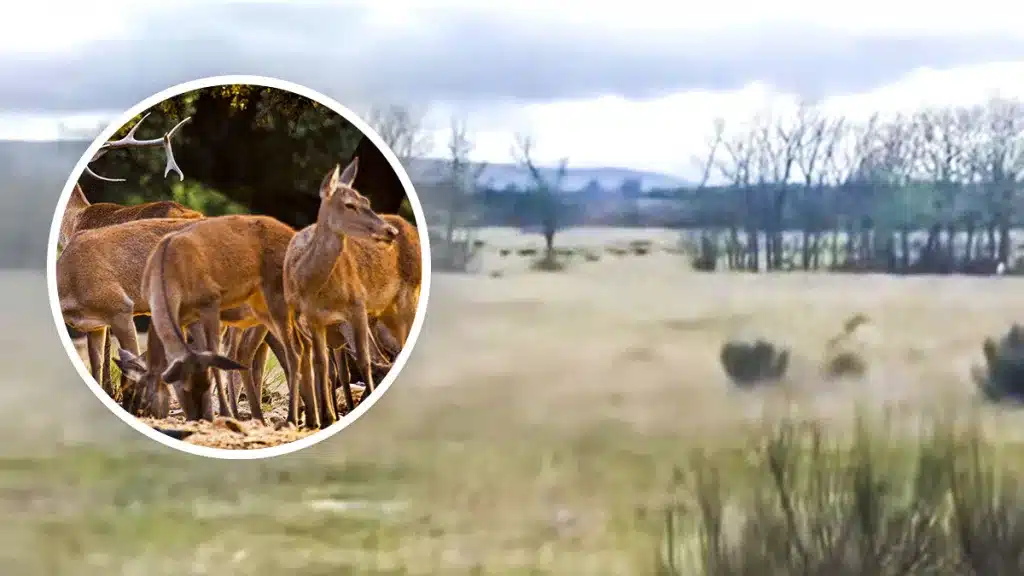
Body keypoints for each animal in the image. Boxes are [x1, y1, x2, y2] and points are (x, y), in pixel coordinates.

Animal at [282, 156, 417, 426]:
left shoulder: (358, 304)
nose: (390, 231)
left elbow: (364, 360)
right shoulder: (314, 319)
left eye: (367, 201)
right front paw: (327, 417)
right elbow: (322, 364)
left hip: (408, 298)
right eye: (349, 204)